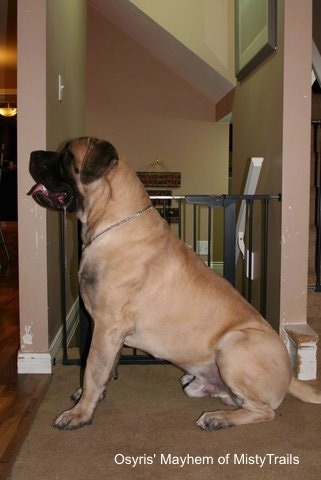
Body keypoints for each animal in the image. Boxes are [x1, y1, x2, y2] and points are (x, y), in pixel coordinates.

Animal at [28, 136, 320, 432]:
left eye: (66, 155)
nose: (33, 154)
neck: (113, 221)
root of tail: (289, 376)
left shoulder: (107, 325)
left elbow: (92, 369)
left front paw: (80, 413)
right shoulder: (109, 332)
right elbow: (107, 366)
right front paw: (92, 396)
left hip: (233, 344)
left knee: (264, 411)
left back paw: (217, 418)